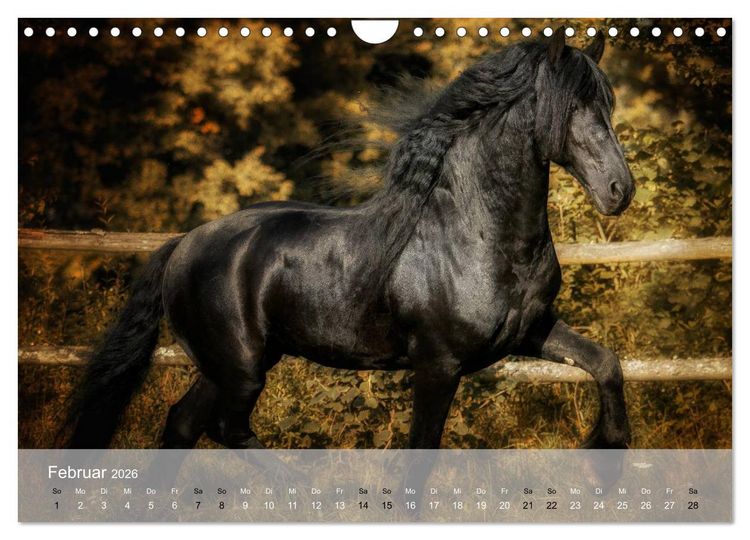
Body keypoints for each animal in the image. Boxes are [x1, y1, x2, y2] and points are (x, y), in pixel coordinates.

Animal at [66, 27, 635, 450]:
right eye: (573, 108)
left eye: (607, 105)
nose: (619, 190)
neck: (476, 237)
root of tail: (183, 244)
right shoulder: (438, 365)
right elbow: (421, 452)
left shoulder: (531, 331)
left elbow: (605, 363)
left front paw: (607, 443)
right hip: (241, 366)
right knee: (228, 429)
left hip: (229, 364)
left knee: (184, 424)